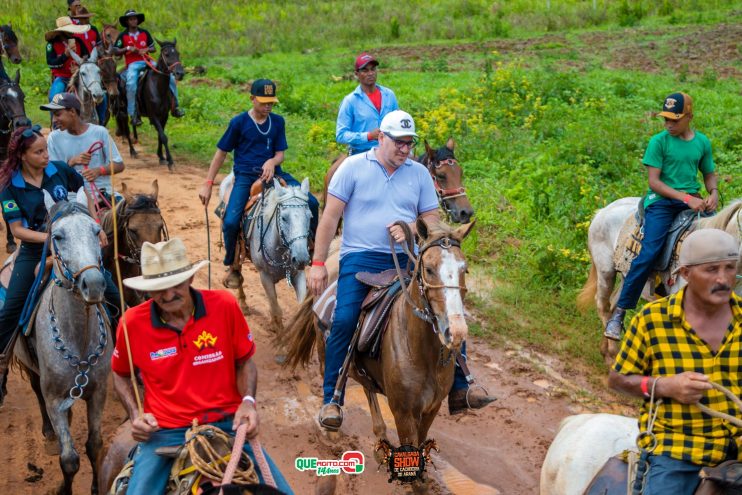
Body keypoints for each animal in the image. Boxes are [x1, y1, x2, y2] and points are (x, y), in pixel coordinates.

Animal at [14, 195, 112, 495]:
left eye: (96, 230)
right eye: (57, 236)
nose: (94, 284)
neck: (78, 339)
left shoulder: (98, 393)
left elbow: (94, 446)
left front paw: (95, 487)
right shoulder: (54, 399)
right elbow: (69, 459)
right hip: (31, 370)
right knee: (37, 392)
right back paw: (48, 433)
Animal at [117, 38, 187, 170]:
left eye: (178, 53)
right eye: (166, 54)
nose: (180, 73)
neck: (158, 87)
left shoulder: (164, 115)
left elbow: (160, 135)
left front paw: (161, 157)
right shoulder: (153, 116)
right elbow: (163, 137)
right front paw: (170, 162)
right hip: (123, 110)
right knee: (127, 130)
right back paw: (132, 151)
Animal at [284, 222, 476, 495]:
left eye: (464, 269)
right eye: (428, 269)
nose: (456, 332)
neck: (421, 351)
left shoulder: (431, 408)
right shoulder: (403, 412)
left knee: (367, 387)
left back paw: (381, 437)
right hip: (325, 347)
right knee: (329, 374)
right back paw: (331, 426)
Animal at [580, 199, 742, 364]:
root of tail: (603, 211)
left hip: (627, 277)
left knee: (616, 303)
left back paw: (607, 350)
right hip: (606, 272)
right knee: (603, 305)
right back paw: (612, 354)